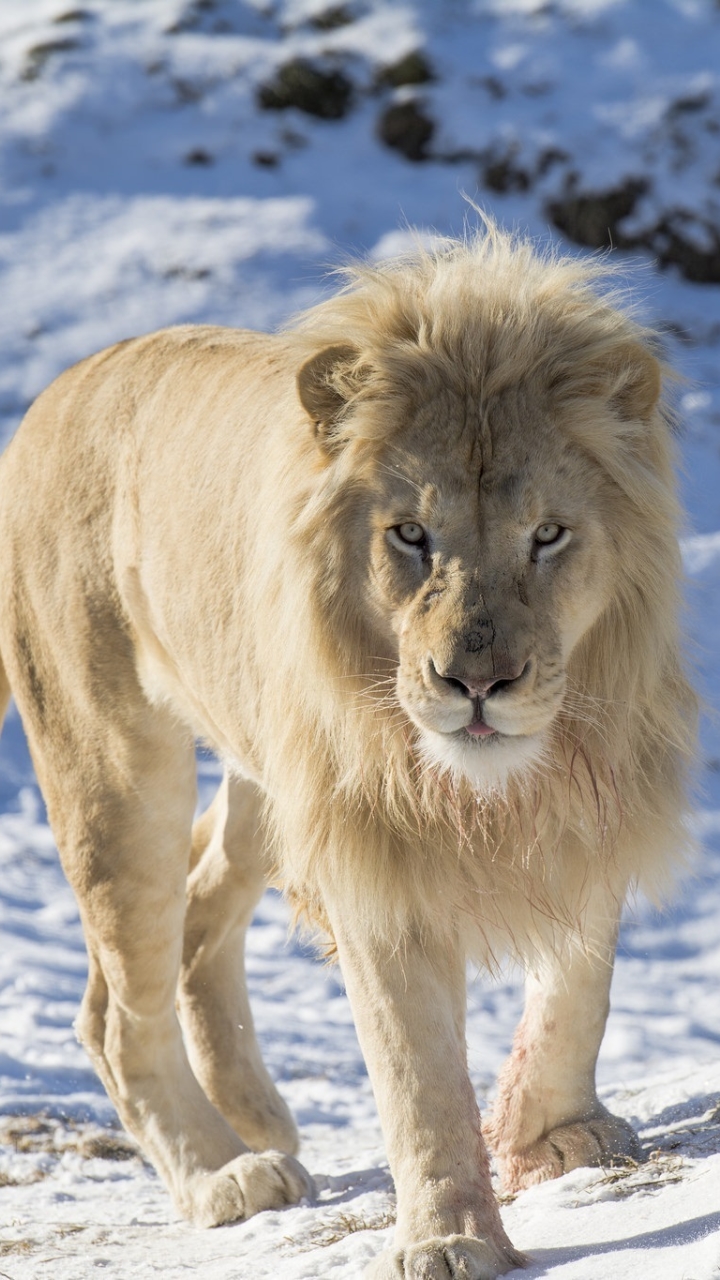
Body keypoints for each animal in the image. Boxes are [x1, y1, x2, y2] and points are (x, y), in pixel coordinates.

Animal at [0, 230, 696, 1280]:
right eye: (410, 535)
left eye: (548, 535)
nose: (475, 682)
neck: (502, 784)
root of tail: (54, 392)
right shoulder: (375, 858)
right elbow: (417, 1073)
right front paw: (450, 1235)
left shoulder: (598, 799)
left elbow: (583, 981)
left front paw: (552, 1135)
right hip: (113, 765)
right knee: (120, 1008)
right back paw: (224, 1175)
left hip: (265, 779)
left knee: (195, 917)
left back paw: (258, 1118)